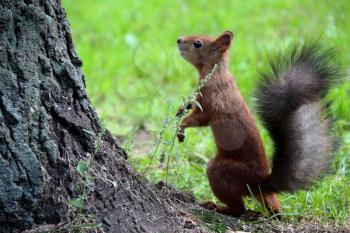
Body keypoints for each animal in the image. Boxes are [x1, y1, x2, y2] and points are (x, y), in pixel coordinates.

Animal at [176, 31, 340, 217]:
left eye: (197, 43)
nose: (179, 40)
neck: (216, 73)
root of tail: (260, 183)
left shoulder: (210, 100)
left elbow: (198, 119)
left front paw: (180, 129)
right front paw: (182, 107)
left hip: (221, 171)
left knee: (238, 208)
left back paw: (218, 206)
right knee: (272, 208)